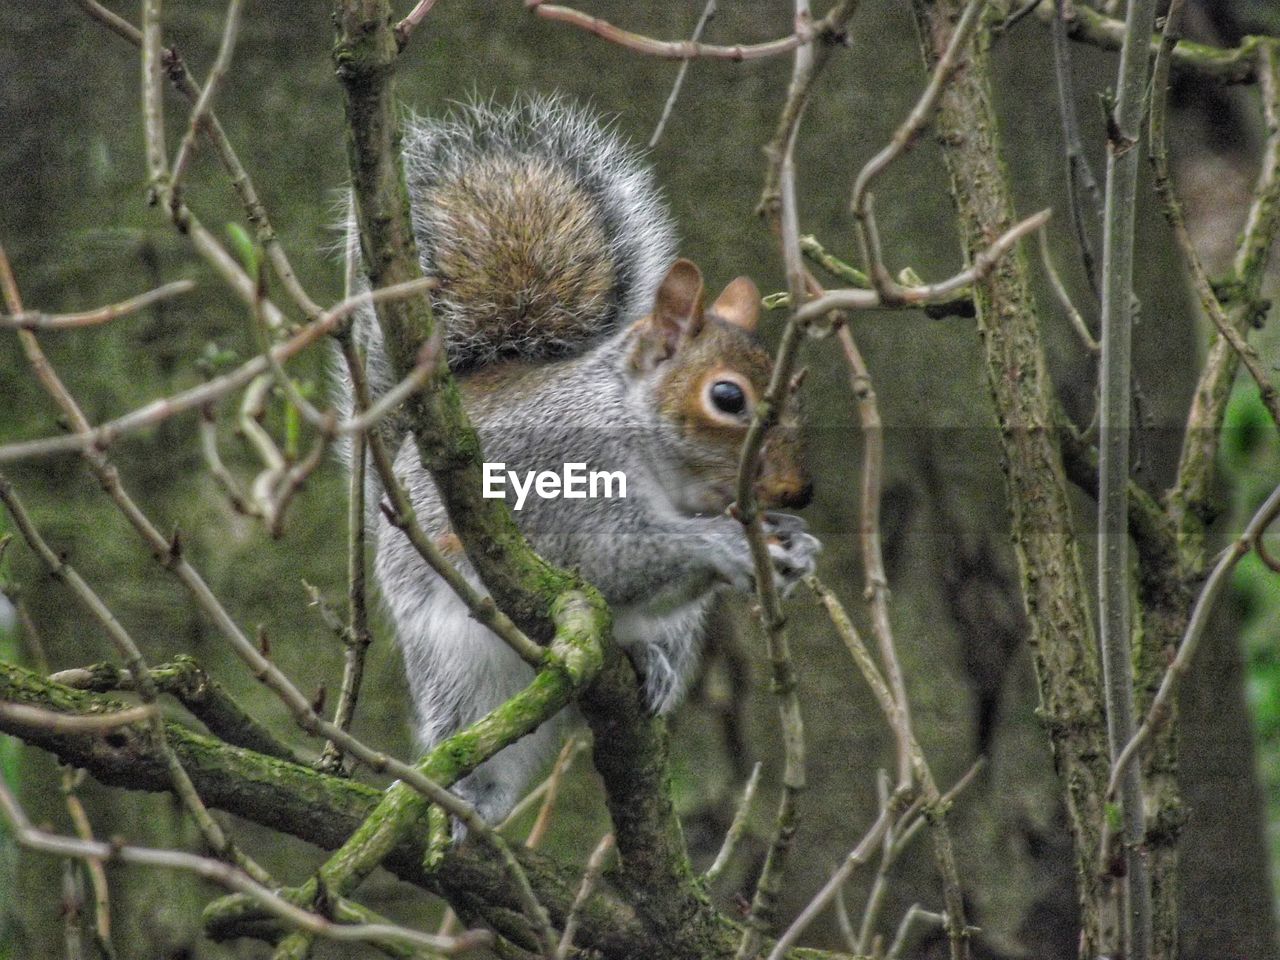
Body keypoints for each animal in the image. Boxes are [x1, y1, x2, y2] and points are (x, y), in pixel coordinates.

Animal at [337, 97, 819, 829]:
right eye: (728, 398)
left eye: (796, 390)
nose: (798, 492)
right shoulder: (566, 478)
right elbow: (606, 557)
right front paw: (727, 543)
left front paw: (794, 543)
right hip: (462, 668)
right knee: (471, 737)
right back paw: (473, 798)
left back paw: (652, 666)